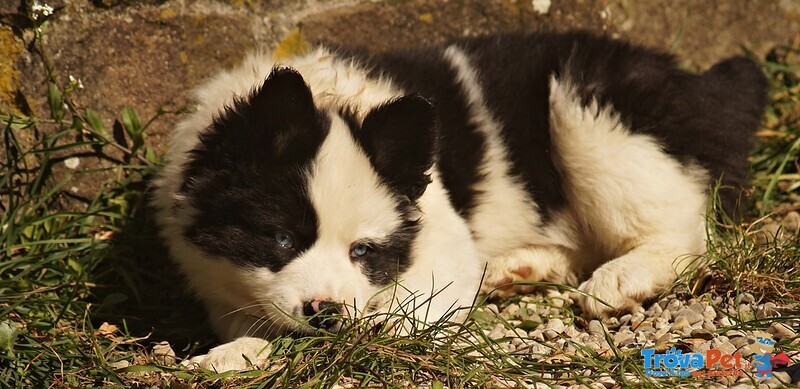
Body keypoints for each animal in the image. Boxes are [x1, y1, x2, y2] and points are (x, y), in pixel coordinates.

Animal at [152, 31, 768, 370]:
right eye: (280, 238)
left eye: (363, 251)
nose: (326, 312)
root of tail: (700, 84)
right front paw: (236, 351)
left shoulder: (440, 247)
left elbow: (381, 322)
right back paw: (516, 268)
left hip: (591, 112)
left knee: (684, 229)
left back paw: (620, 281)